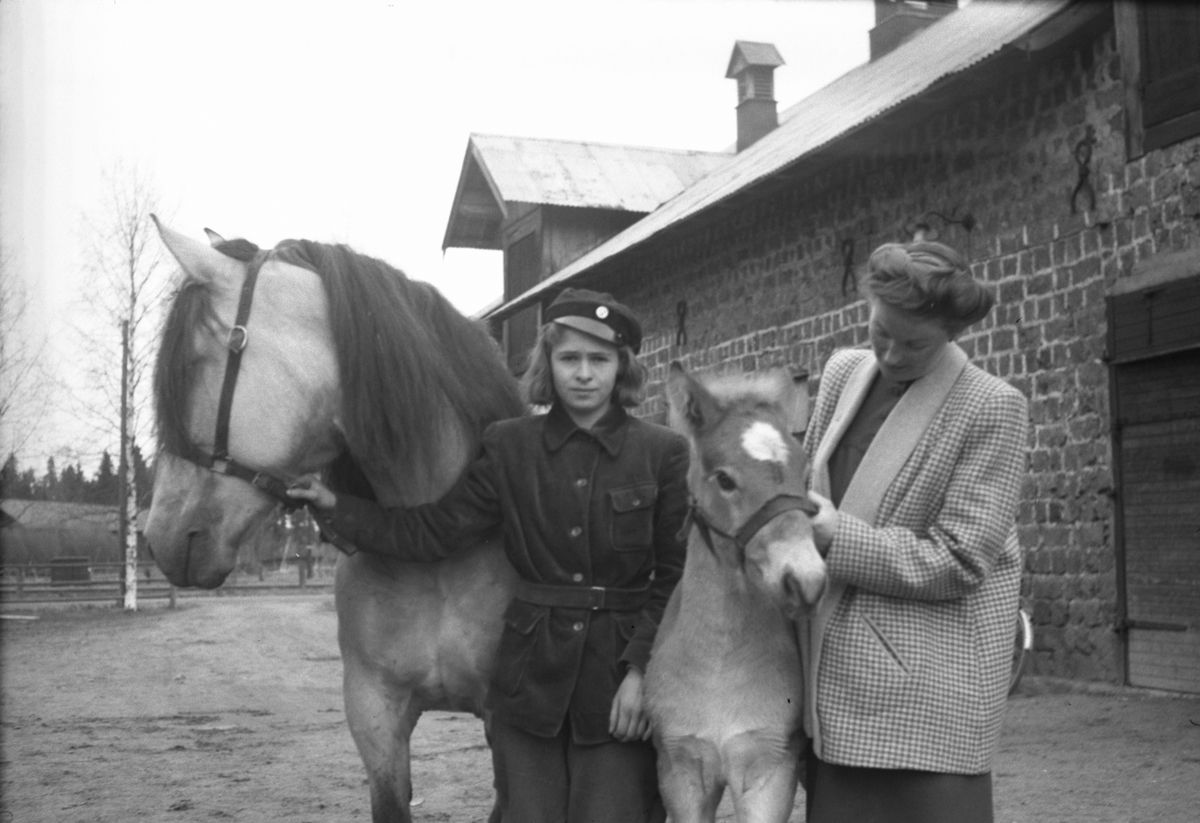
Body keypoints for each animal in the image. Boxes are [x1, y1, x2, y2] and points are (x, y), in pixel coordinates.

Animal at [644, 363, 827, 823]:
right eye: (724, 479)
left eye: (805, 475)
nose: (806, 580)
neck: (718, 662)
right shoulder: (681, 774)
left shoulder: (769, 772)